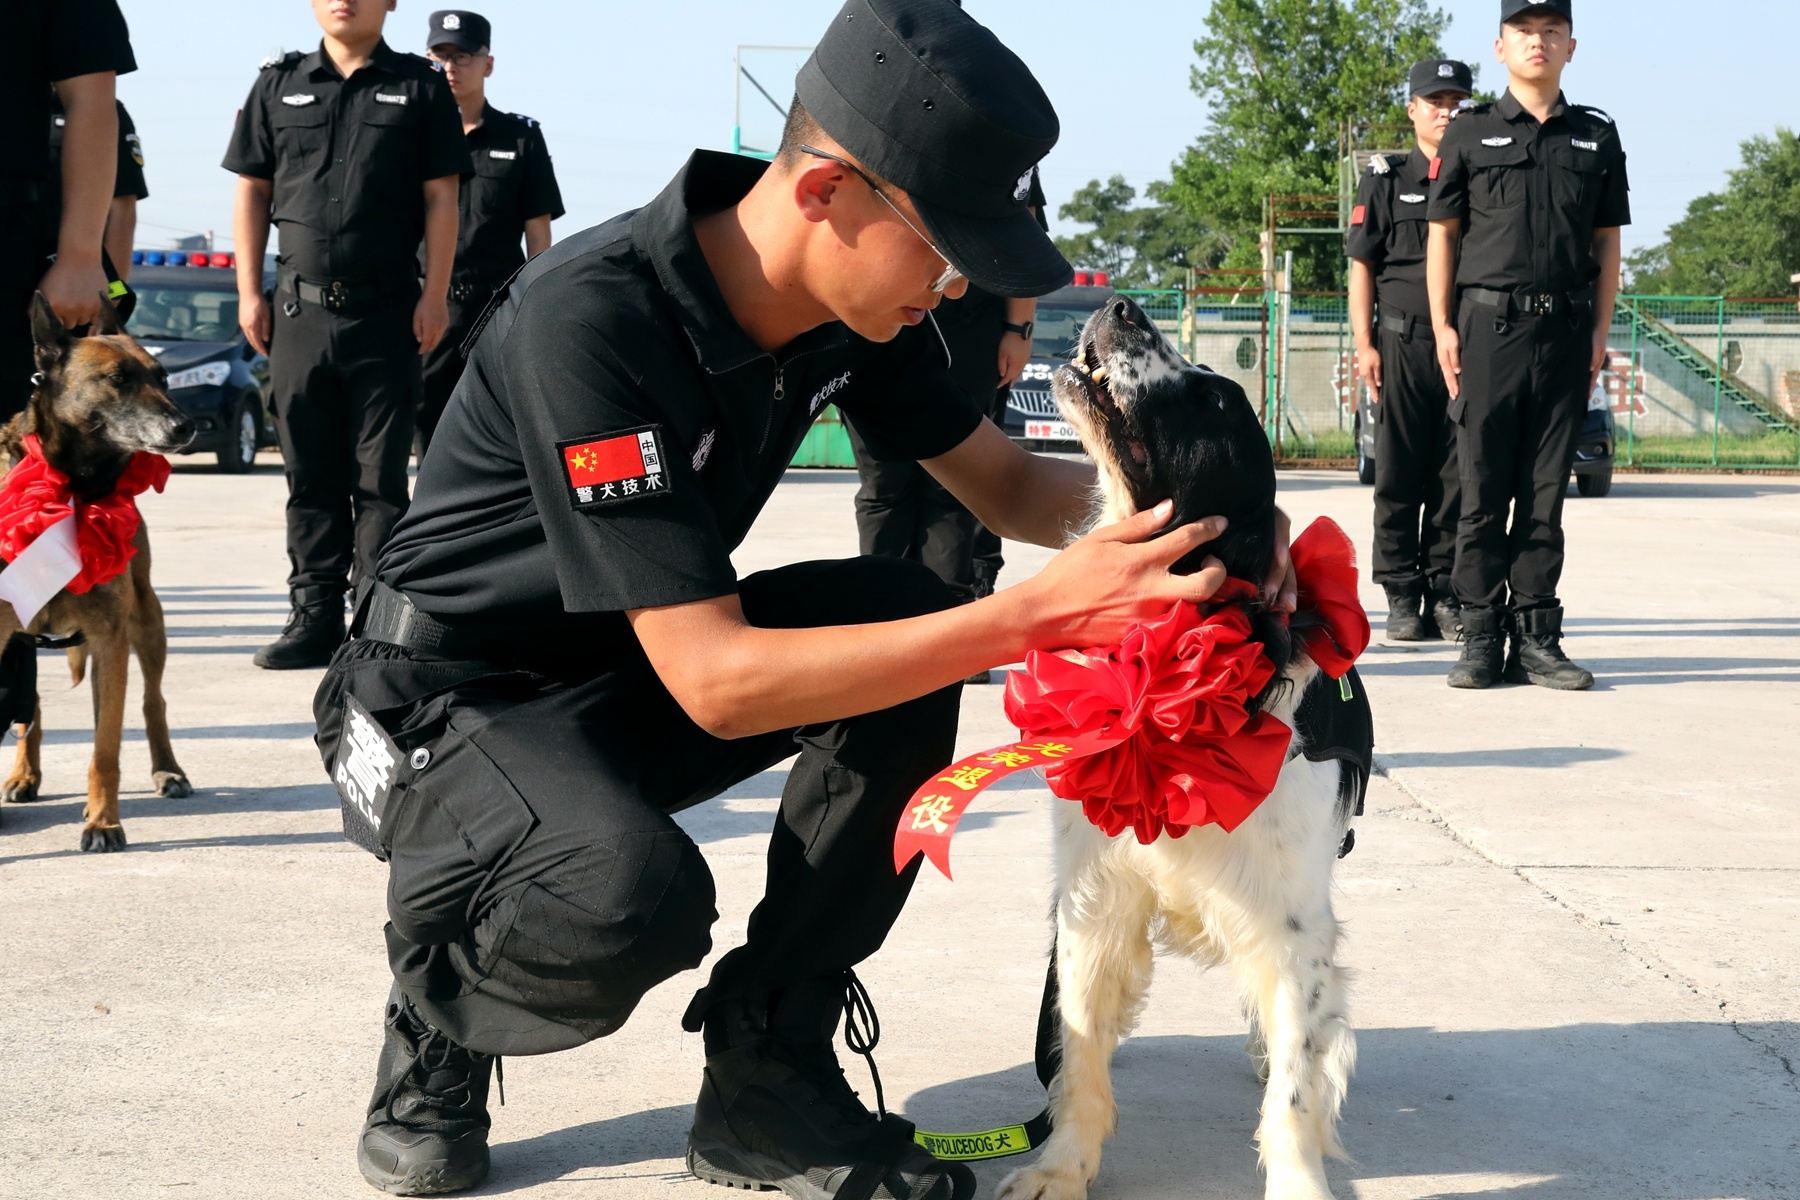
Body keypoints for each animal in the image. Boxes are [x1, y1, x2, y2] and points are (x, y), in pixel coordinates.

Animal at [0, 295, 195, 849]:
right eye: (116, 379)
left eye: (163, 377)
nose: (186, 426)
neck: (75, 489)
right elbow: (31, 714)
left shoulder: (111, 640)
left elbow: (105, 749)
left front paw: (104, 821)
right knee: (30, 711)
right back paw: (24, 773)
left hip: (148, 625)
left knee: (153, 703)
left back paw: (168, 770)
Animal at [1000, 298, 1360, 1200]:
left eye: (1218, 399)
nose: (1122, 305)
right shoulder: (1092, 896)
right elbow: (1078, 1047)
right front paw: (1061, 1168)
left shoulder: (1293, 923)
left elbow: (1298, 1081)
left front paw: (1298, 1182)